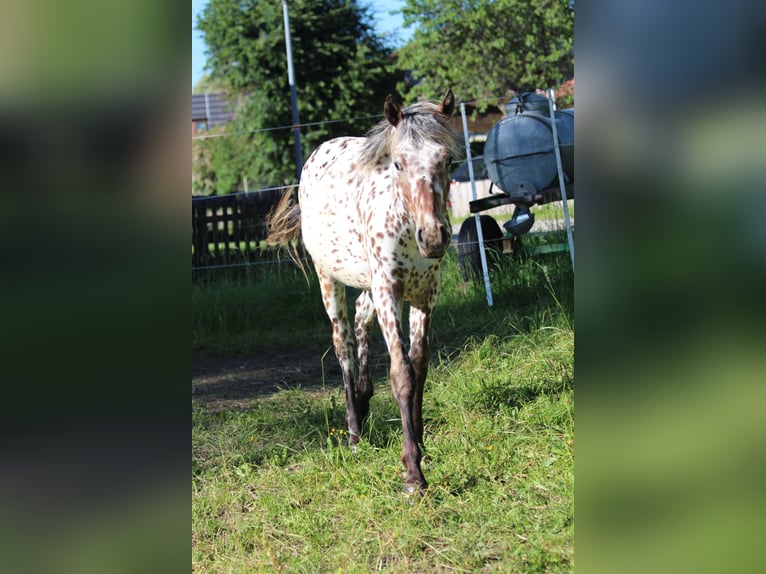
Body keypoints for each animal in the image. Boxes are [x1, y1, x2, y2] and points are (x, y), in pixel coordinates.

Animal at [268, 90, 461, 492]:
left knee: (360, 320)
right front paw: (413, 474)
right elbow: (401, 373)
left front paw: (420, 441)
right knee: (342, 342)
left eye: (448, 160)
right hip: (329, 280)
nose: (434, 237)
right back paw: (355, 432)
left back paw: (363, 399)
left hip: (369, 286)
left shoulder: (425, 296)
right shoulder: (388, 292)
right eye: (398, 163)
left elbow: (419, 367)